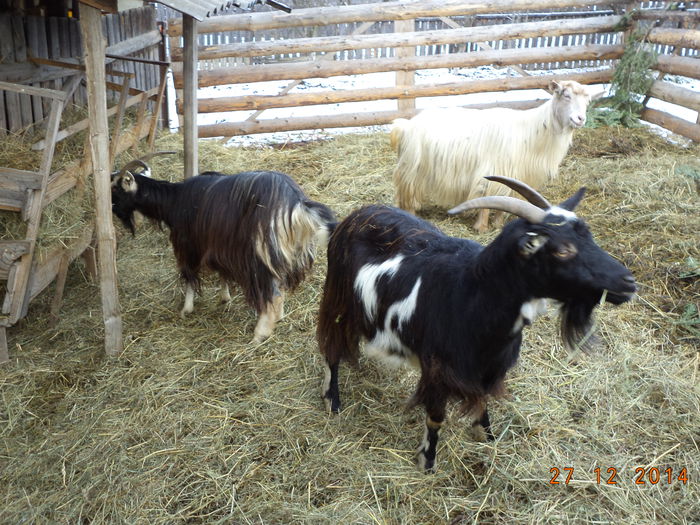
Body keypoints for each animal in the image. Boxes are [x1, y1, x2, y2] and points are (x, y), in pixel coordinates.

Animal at [112, 158, 336, 342]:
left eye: (116, 190)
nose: (114, 211)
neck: (174, 200)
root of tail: (296, 203)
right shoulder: (220, 245)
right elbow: (222, 271)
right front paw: (225, 297)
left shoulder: (189, 244)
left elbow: (189, 277)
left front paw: (186, 309)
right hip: (280, 253)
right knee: (278, 287)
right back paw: (277, 318)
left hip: (259, 254)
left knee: (273, 293)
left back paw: (259, 334)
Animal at [320, 177, 636, 470]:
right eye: (562, 250)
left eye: (589, 236)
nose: (628, 282)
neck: (472, 294)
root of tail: (357, 214)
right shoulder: (438, 369)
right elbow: (435, 418)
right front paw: (428, 461)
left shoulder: (487, 368)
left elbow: (483, 401)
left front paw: (487, 436)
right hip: (337, 299)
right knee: (330, 347)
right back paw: (332, 399)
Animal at [392, 79, 604, 230]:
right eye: (566, 95)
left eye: (588, 101)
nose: (580, 119)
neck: (533, 130)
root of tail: (406, 125)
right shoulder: (492, 169)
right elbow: (488, 198)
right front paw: (481, 227)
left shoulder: (516, 174)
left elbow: (508, 198)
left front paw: (498, 224)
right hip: (412, 167)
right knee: (407, 194)